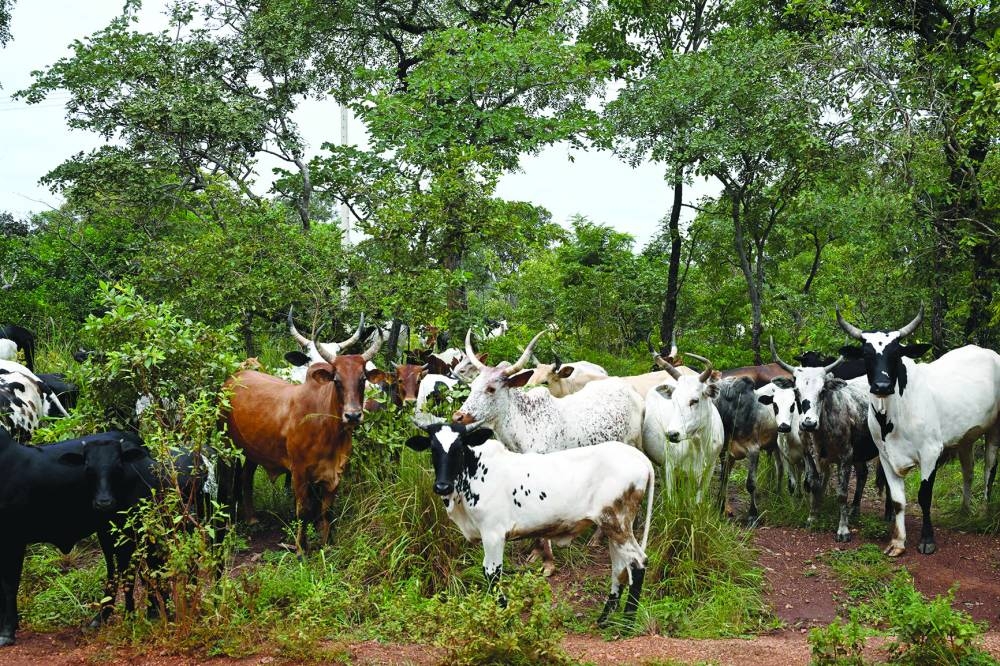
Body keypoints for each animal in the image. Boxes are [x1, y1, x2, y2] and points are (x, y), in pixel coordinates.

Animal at [223, 331, 383, 554]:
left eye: (362, 379)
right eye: (336, 380)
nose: (352, 415)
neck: (327, 429)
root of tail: (234, 377)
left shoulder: (335, 473)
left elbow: (327, 511)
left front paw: (326, 544)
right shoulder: (299, 472)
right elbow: (303, 510)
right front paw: (300, 549)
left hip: (253, 451)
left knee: (247, 476)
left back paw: (252, 518)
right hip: (227, 444)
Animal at [405, 416, 653, 627]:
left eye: (459, 448)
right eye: (433, 448)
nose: (442, 486)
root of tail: (641, 459)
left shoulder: (493, 533)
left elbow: (492, 572)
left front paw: (505, 619)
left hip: (617, 523)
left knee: (637, 562)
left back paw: (628, 624)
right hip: (612, 527)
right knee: (619, 567)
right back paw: (605, 620)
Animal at [641, 354, 724, 502]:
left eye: (694, 400)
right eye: (673, 401)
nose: (672, 434)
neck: (698, 442)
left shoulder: (709, 468)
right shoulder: (670, 467)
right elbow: (672, 500)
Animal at [770, 338, 882, 541]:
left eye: (822, 390)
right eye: (796, 391)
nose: (808, 423)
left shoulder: (846, 456)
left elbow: (842, 493)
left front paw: (843, 529)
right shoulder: (809, 454)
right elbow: (813, 484)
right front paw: (813, 517)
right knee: (863, 474)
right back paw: (855, 510)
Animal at [837, 306, 1000, 556]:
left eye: (896, 354)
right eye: (866, 354)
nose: (882, 386)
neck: (894, 414)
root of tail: (987, 352)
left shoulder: (930, 452)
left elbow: (924, 496)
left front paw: (927, 539)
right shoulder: (885, 456)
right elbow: (897, 500)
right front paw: (897, 542)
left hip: (994, 429)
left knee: (989, 470)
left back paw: (984, 510)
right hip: (965, 437)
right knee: (968, 470)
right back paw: (965, 509)